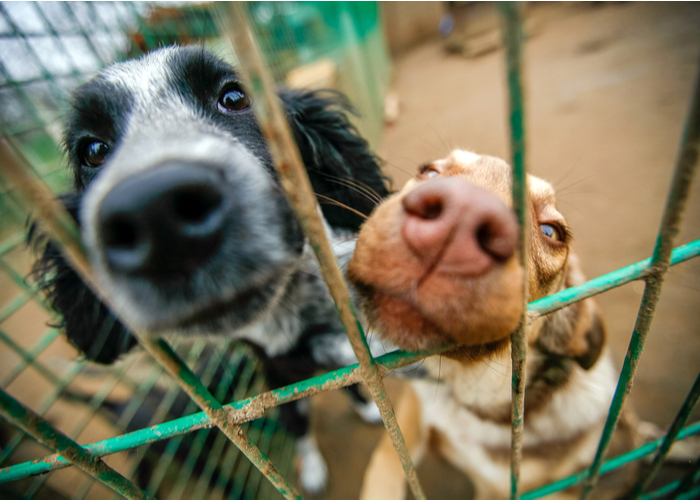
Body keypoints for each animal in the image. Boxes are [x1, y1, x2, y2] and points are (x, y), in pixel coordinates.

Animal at [348, 150, 636, 498]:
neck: (466, 400)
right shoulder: (414, 411)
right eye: (429, 172)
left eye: (551, 232)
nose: (462, 213)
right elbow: (386, 463)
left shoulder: (497, 488)